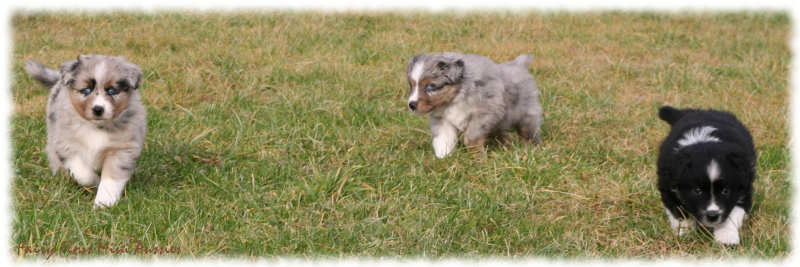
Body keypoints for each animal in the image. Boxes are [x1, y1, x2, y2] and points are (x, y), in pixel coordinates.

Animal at [24, 55, 147, 209]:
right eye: (86, 90)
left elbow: (111, 179)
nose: (98, 109)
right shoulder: (67, 145)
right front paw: (95, 181)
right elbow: (83, 173)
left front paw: (104, 204)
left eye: (112, 91)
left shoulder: (122, 150)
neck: (96, 127)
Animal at [406, 52, 544, 158]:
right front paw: (443, 158)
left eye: (430, 87)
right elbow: (442, 139)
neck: (456, 98)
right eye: (411, 86)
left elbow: (471, 136)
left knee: (530, 134)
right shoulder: (442, 119)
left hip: (527, 115)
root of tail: (518, 65)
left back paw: (532, 149)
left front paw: (477, 156)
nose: (411, 105)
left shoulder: (485, 113)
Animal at [656, 105, 756, 246]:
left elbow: (730, 214)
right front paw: (685, 232)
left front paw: (726, 236)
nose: (712, 215)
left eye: (725, 191)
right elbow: (680, 211)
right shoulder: (668, 187)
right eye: (697, 190)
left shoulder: (743, 189)